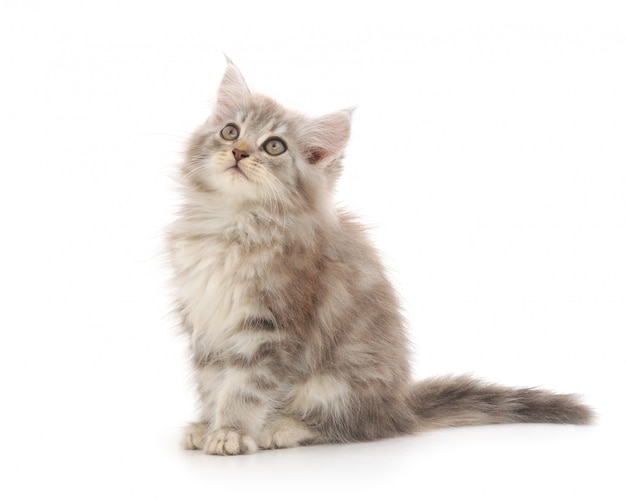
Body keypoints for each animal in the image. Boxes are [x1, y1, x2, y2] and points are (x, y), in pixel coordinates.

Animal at [166, 60, 588, 456]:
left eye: (274, 146)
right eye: (230, 131)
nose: (239, 152)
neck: (232, 224)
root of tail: (400, 405)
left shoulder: (270, 328)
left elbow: (244, 388)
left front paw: (231, 432)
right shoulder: (205, 324)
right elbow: (213, 384)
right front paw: (208, 425)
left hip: (341, 383)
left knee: (356, 427)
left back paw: (283, 428)